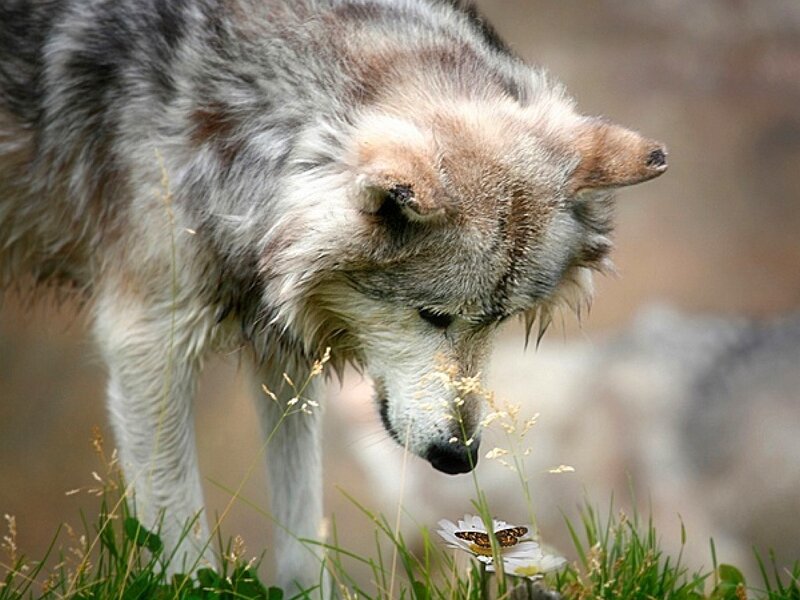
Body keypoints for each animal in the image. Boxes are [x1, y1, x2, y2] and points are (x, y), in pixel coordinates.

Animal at [0, 0, 666, 591]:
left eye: (498, 321)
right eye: (433, 315)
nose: (459, 457)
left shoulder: (284, 355)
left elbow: (301, 536)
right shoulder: (147, 345)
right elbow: (182, 546)